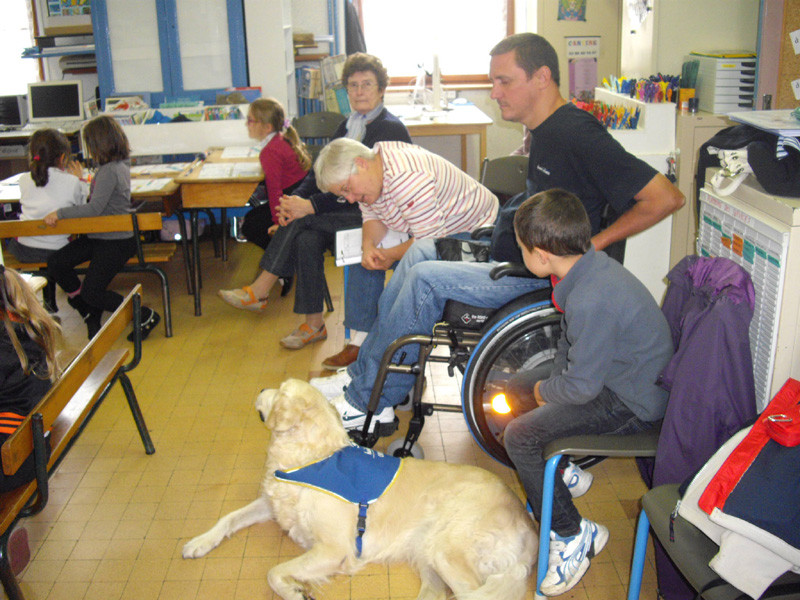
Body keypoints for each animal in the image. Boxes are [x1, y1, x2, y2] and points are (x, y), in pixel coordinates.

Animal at [183, 382, 536, 596]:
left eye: (279, 389)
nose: (259, 389)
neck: (312, 458)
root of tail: (527, 518)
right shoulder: (271, 503)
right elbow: (228, 518)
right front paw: (198, 542)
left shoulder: (334, 549)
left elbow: (274, 571)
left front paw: (294, 591)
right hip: (429, 555)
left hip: (447, 550)